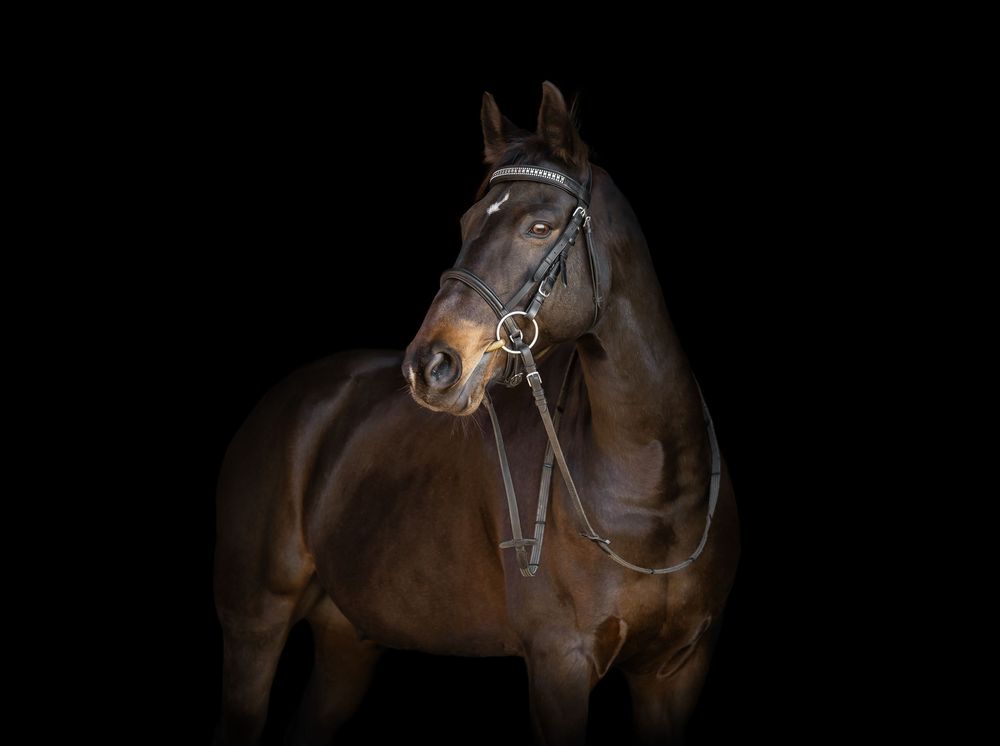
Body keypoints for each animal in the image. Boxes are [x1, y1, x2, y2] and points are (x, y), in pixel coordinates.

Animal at [214, 81, 740, 746]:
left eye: (540, 226)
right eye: (466, 221)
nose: (430, 365)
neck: (653, 489)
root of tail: (288, 401)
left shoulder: (677, 673)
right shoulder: (559, 665)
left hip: (346, 642)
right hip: (254, 626)